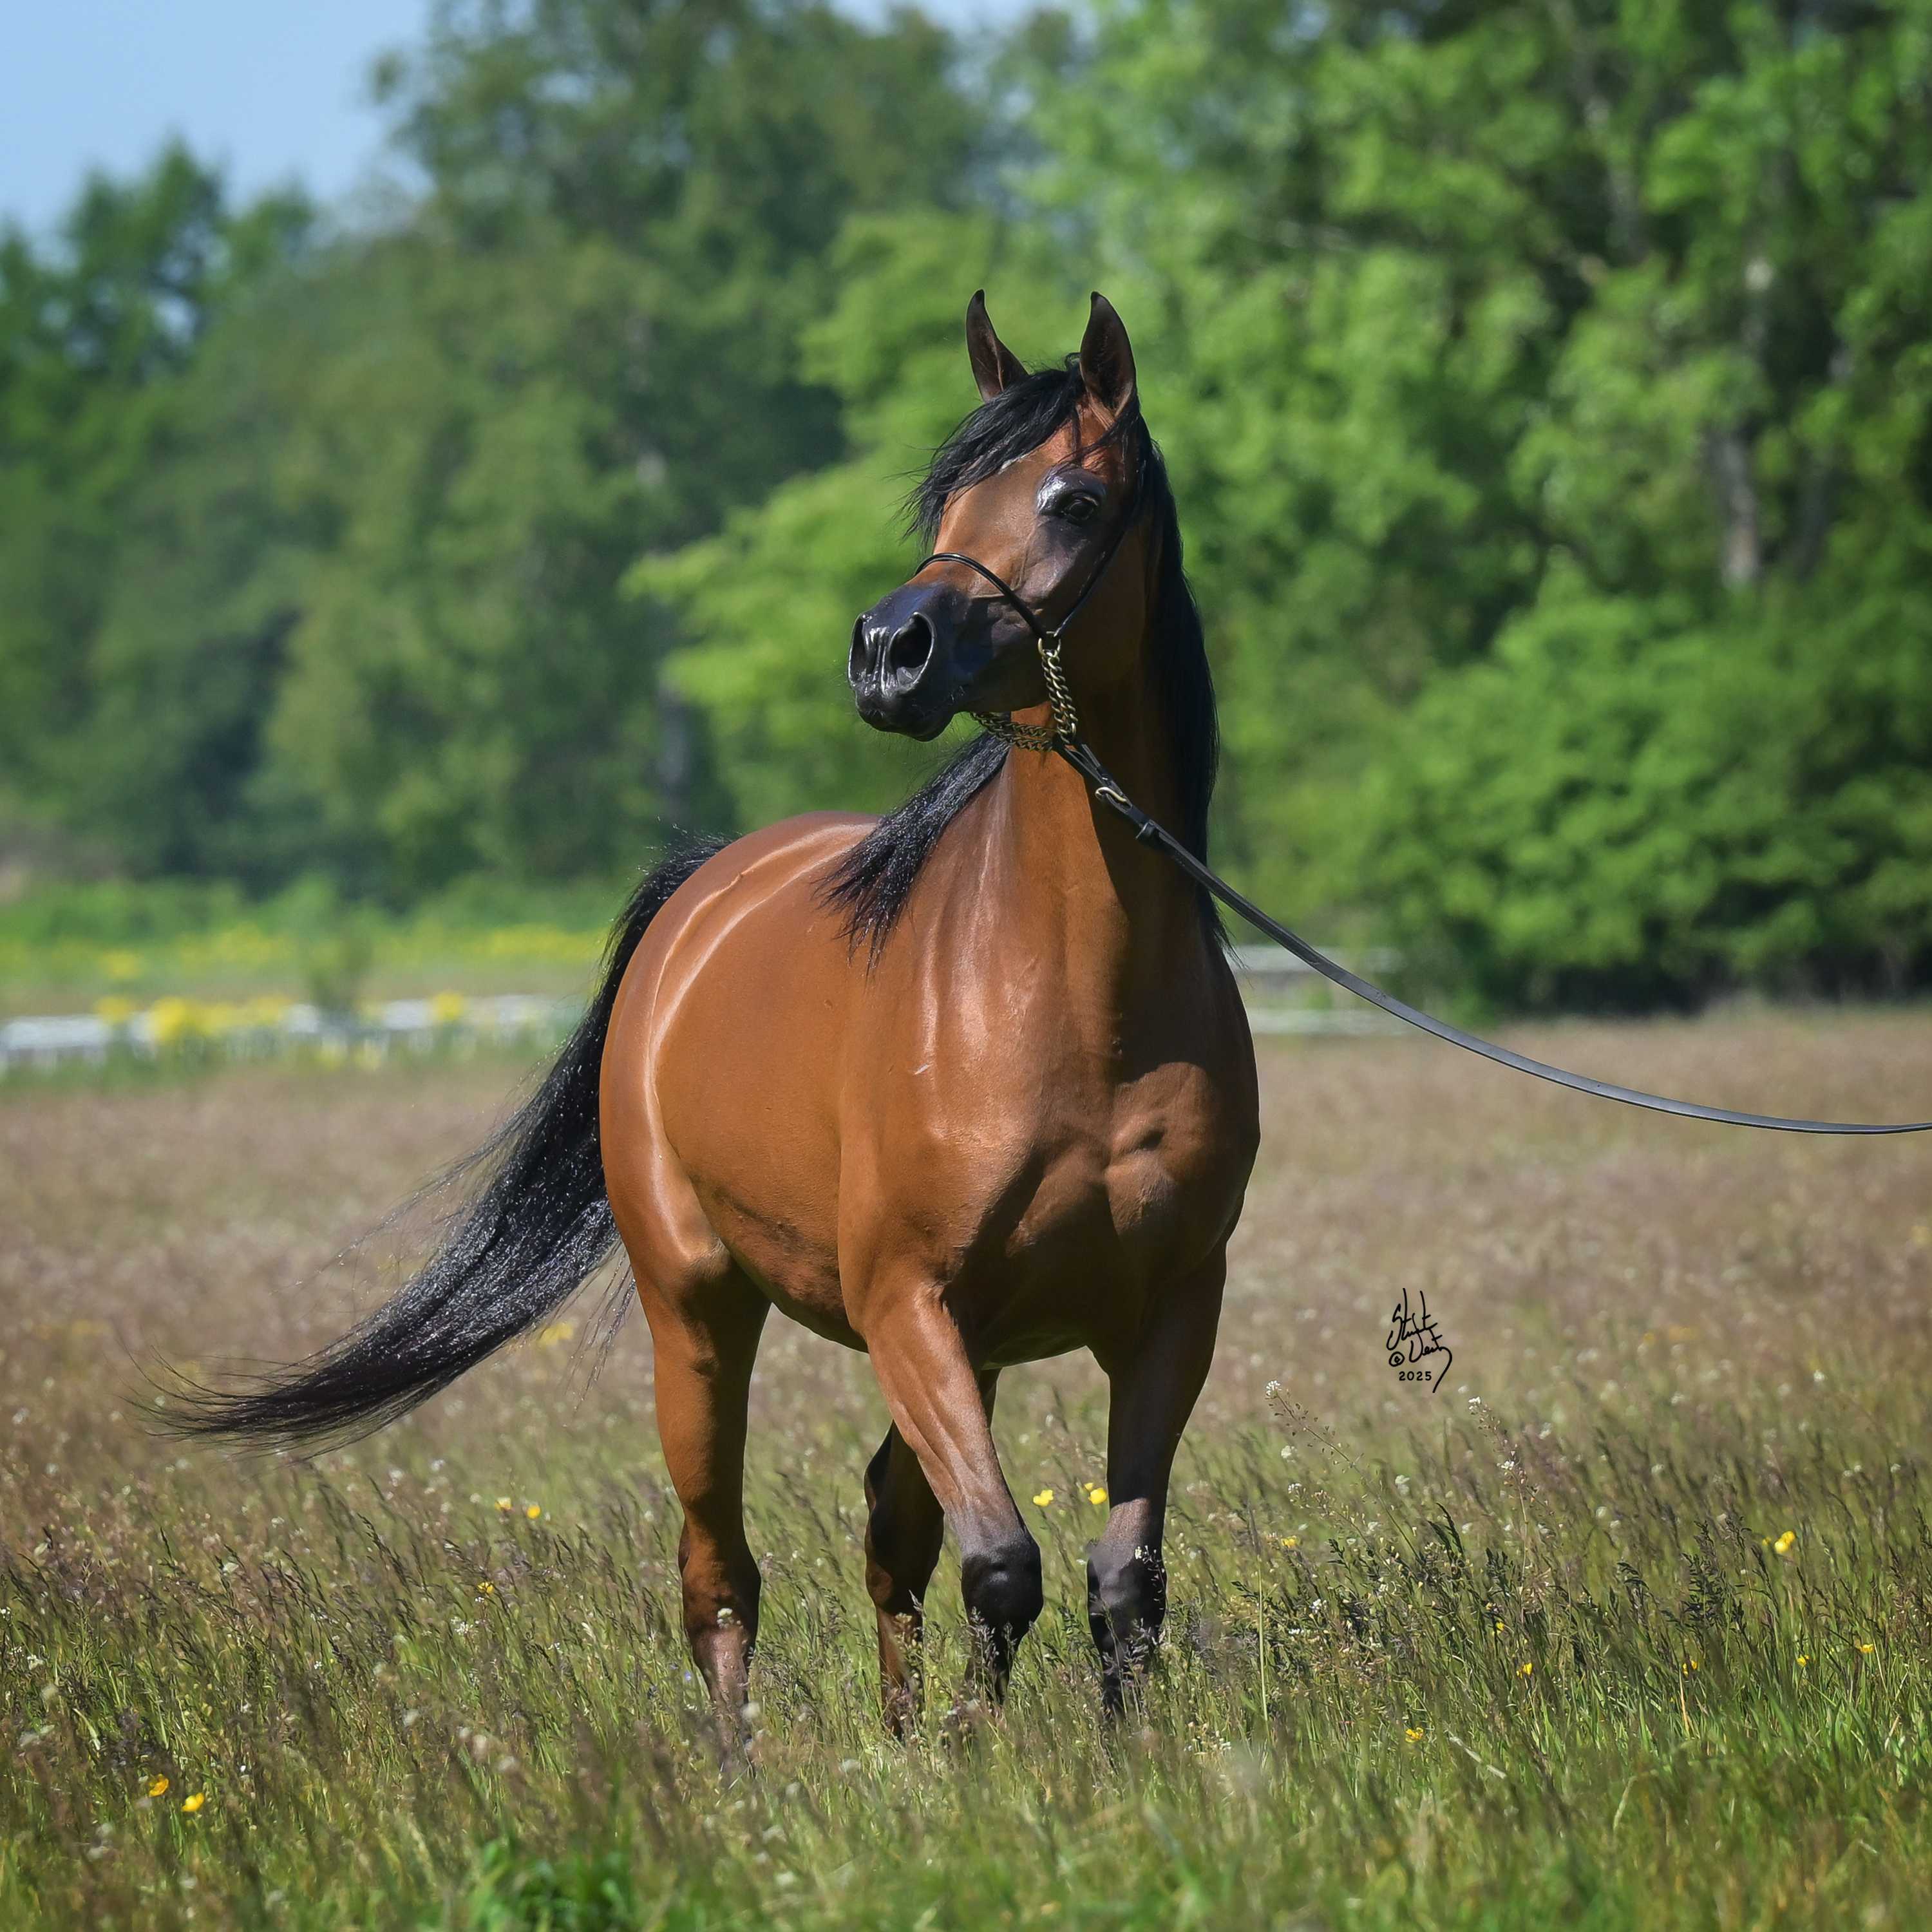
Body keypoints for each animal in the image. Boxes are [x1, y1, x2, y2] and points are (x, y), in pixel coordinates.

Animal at [180, 292, 1260, 1739]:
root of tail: (702, 890)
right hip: (701, 1318)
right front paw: (986, 1760)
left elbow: (1119, 1581)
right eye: (945, 498)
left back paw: (899, 1739)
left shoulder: (1166, 1313)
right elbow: (1003, 1565)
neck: (1081, 1006)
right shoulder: (911, 1303)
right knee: (721, 1575)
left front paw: (1082, 1762)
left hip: (954, 1350)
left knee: (887, 1528)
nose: (889, 654)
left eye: (1073, 499)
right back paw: (741, 1766)